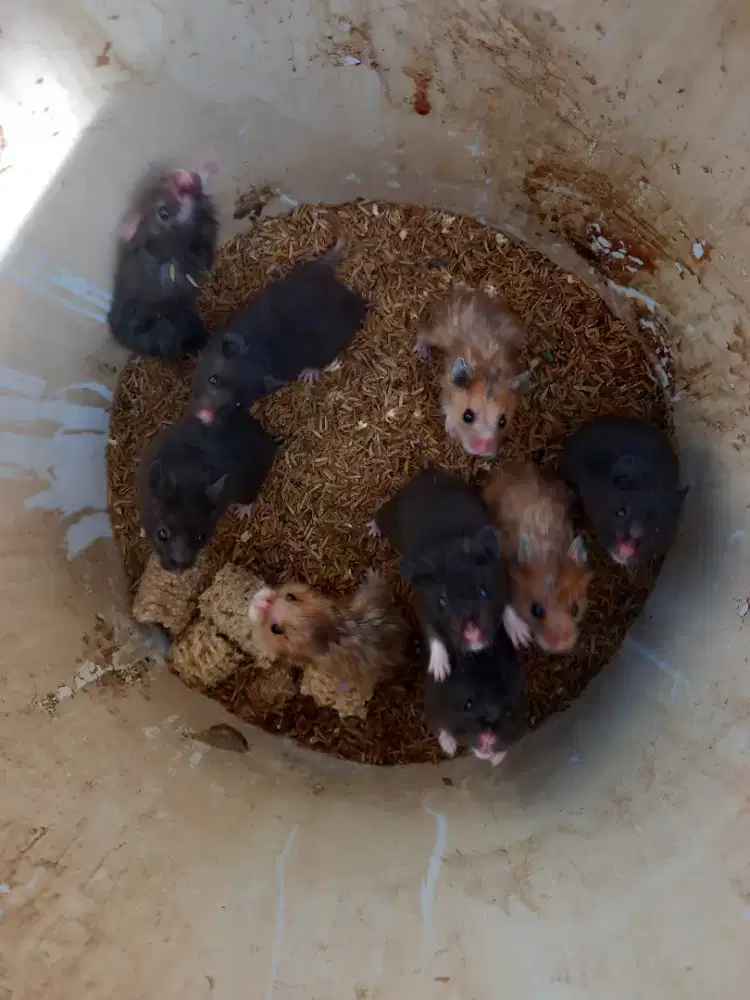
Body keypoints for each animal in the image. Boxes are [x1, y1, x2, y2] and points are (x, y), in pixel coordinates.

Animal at [138, 406, 279, 571]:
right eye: (162, 534)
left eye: (200, 536)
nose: (180, 567)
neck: (187, 475)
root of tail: (269, 440)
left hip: (250, 482)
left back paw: (240, 513)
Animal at [192, 236, 368, 422]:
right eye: (213, 379)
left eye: (238, 404)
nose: (205, 417)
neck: (257, 353)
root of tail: (336, 286)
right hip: (305, 272)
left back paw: (308, 375)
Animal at [375, 465, 510, 682]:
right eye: (442, 602)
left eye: (483, 591)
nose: (472, 634)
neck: (448, 549)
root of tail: (426, 473)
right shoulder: (421, 607)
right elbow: (433, 633)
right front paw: (440, 674)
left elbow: (509, 605)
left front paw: (522, 639)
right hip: (390, 513)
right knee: (379, 516)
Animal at [415, 286, 527, 457]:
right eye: (467, 416)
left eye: (503, 421)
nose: (481, 452)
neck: (488, 373)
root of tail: (467, 292)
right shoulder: (447, 390)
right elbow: (448, 409)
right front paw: (451, 432)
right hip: (441, 333)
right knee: (423, 333)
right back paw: (421, 352)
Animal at [425, 633, 527, 766]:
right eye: (468, 705)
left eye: (508, 712)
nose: (488, 737)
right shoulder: (432, 706)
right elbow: (440, 728)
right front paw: (450, 751)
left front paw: (495, 762)